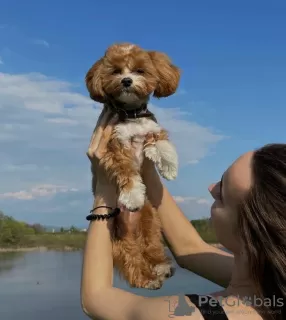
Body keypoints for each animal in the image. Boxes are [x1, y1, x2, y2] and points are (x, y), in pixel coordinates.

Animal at [85, 43, 180, 290]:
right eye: (116, 71)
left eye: (140, 70)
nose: (126, 80)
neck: (132, 115)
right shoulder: (115, 148)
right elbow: (127, 173)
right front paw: (132, 196)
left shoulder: (151, 129)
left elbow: (163, 143)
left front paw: (169, 167)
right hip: (120, 241)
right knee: (133, 262)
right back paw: (148, 279)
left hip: (151, 222)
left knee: (151, 248)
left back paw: (160, 266)